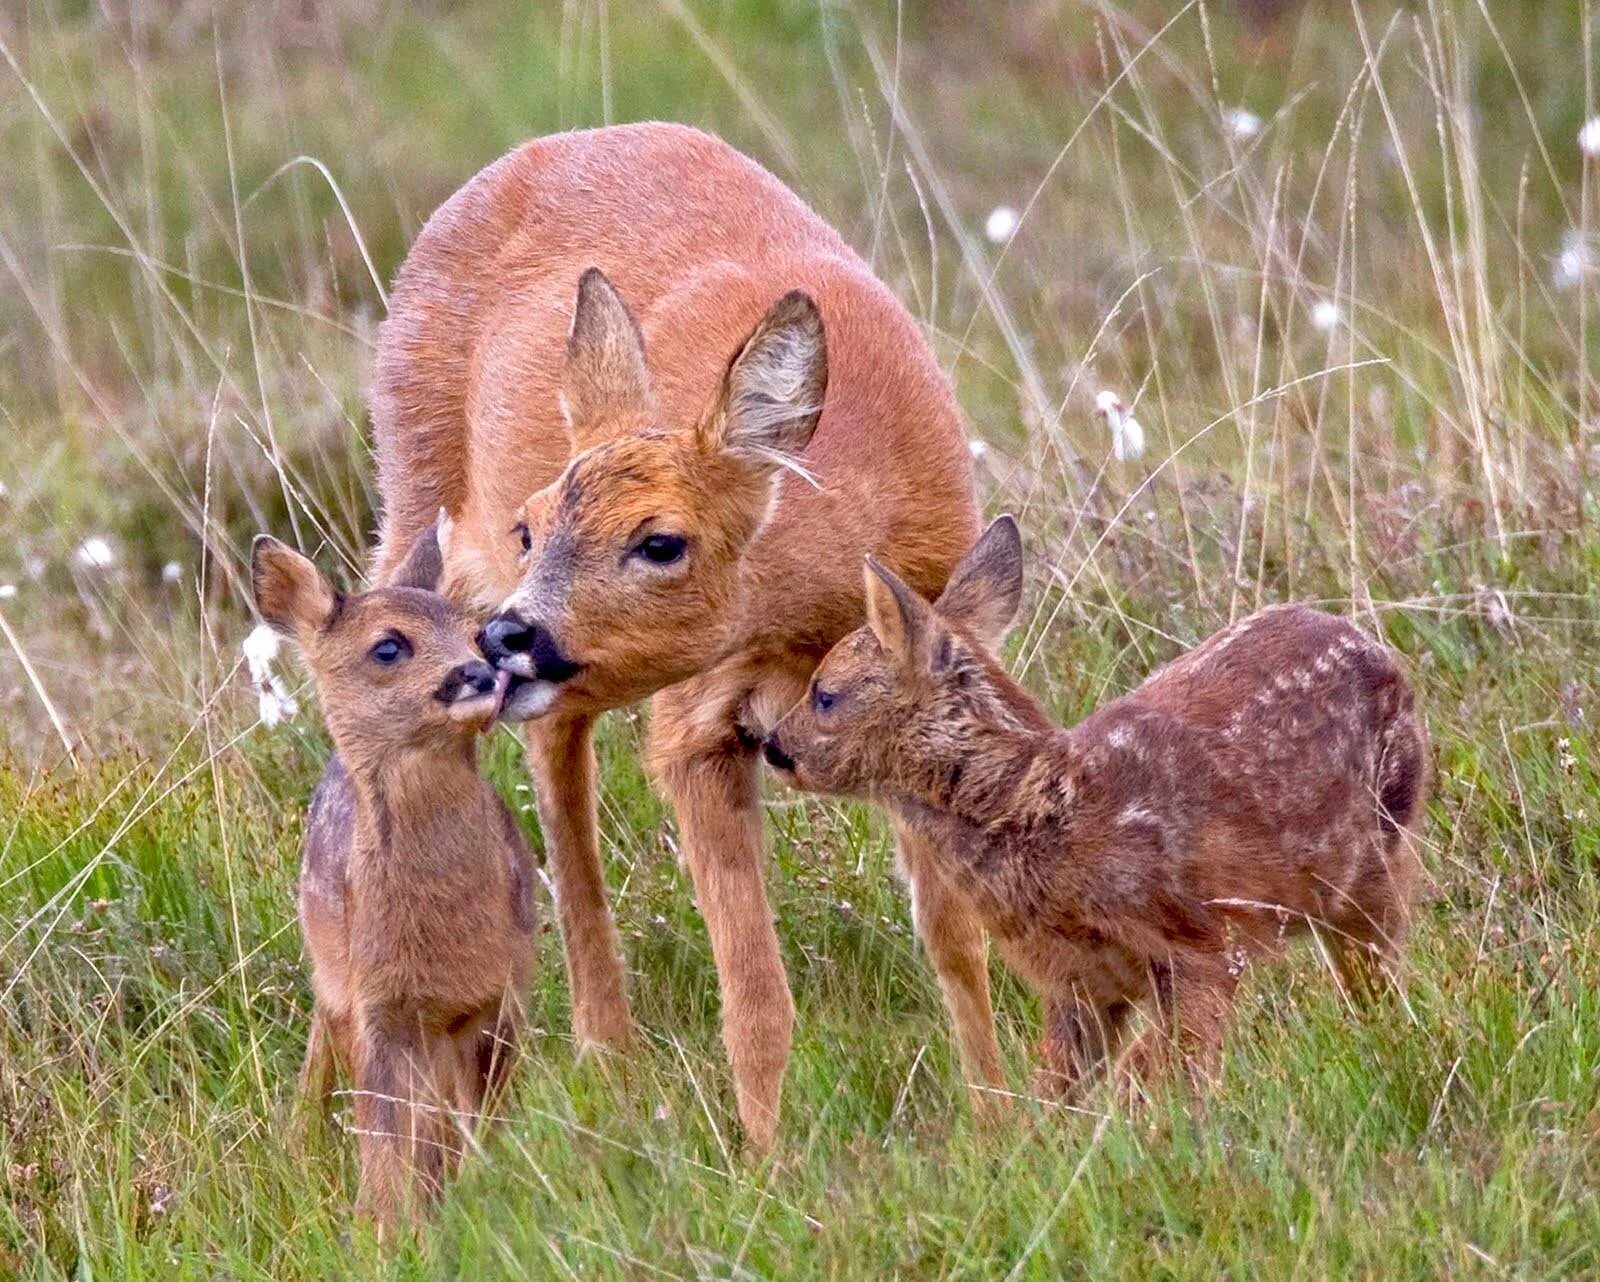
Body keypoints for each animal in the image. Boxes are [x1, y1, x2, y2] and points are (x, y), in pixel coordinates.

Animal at [256, 521, 537, 1229]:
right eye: (388, 646)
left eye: (477, 633)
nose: (477, 673)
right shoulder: (381, 1009)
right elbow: (387, 1137)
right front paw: (383, 1227)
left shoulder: (503, 995)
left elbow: (475, 1121)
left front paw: (478, 1192)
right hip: (335, 980)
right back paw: (299, 1146)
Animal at [358, 124, 992, 1145]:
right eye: (530, 527)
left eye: (661, 541)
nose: (506, 637)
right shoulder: (696, 725)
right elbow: (758, 994)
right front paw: (769, 1160)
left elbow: (957, 942)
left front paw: (1008, 1118)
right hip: (416, 490)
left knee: (552, 743)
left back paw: (605, 1058)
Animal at [768, 518, 1433, 1101]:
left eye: (825, 695)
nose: (773, 745)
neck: (1043, 805)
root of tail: (1379, 650)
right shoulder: (1080, 982)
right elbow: (1060, 1088)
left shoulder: (1200, 942)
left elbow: (1159, 1071)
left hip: (1380, 856)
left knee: (1378, 970)